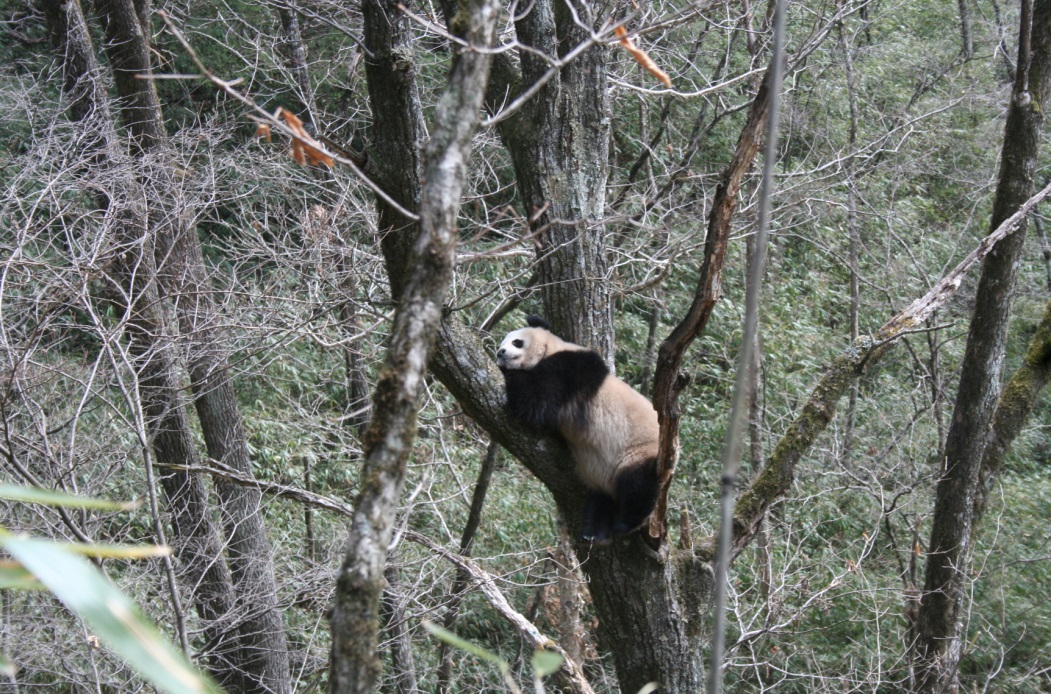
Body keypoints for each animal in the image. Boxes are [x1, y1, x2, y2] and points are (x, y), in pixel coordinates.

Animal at [496, 316, 660, 543]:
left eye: (516, 342)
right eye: (501, 343)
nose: (500, 352)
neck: (551, 348)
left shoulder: (571, 368)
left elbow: (536, 401)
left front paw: (509, 372)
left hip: (639, 451)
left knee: (638, 486)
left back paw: (625, 524)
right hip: (601, 476)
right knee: (601, 500)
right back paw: (594, 533)